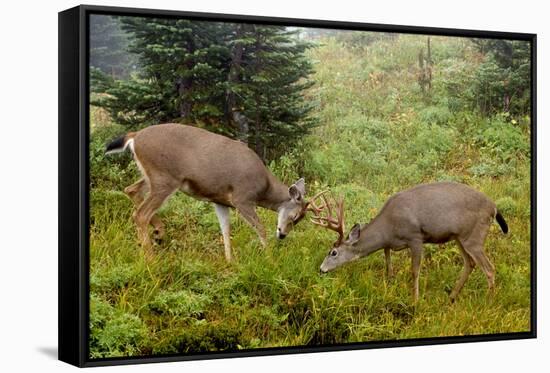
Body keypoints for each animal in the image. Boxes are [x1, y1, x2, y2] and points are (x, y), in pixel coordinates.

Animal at [104, 123, 312, 260]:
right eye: (295, 216)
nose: (282, 235)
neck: (264, 187)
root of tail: (135, 136)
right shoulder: (242, 198)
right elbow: (260, 228)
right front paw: (269, 258)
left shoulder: (220, 201)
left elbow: (225, 230)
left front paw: (230, 261)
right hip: (165, 178)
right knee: (140, 214)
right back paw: (151, 258)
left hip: (153, 176)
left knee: (131, 190)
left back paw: (158, 233)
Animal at [308, 183, 512, 302]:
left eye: (333, 252)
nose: (321, 269)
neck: (388, 229)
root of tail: (494, 207)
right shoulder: (390, 244)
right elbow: (387, 260)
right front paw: (390, 281)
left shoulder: (415, 237)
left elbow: (414, 271)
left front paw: (415, 301)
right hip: (460, 237)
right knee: (470, 263)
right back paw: (452, 297)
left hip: (474, 236)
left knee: (489, 268)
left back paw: (489, 302)